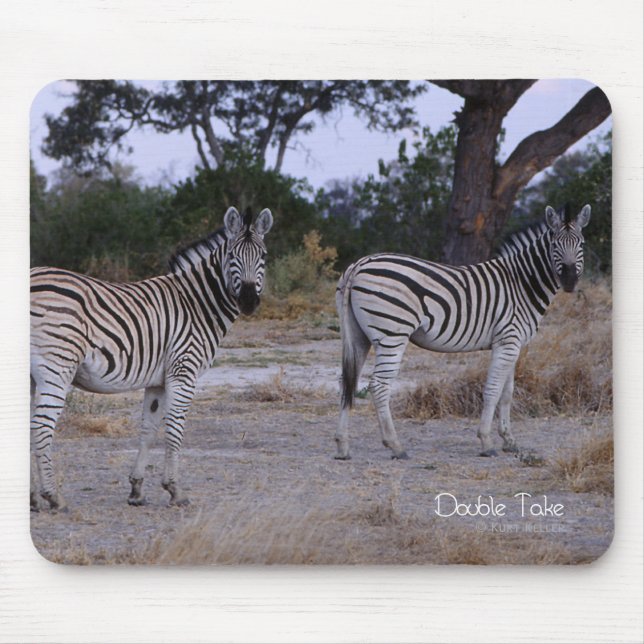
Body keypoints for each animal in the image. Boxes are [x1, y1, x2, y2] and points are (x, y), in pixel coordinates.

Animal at [30, 207, 273, 510]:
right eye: (232, 256)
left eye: (263, 256)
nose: (249, 301)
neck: (197, 304)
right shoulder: (183, 370)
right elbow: (174, 429)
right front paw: (175, 490)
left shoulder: (157, 381)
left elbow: (148, 429)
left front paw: (136, 489)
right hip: (57, 367)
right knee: (41, 427)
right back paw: (53, 496)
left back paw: (34, 498)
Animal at [335, 204, 591, 460]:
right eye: (554, 244)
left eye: (581, 244)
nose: (570, 280)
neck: (521, 284)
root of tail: (359, 264)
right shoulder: (508, 341)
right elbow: (493, 390)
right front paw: (486, 441)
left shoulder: (512, 344)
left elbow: (507, 392)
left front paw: (509, 440)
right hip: (392, 334)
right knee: (379, 385)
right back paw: (395, 446)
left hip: (358, 336)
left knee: (348, 382)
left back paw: (343, 446)